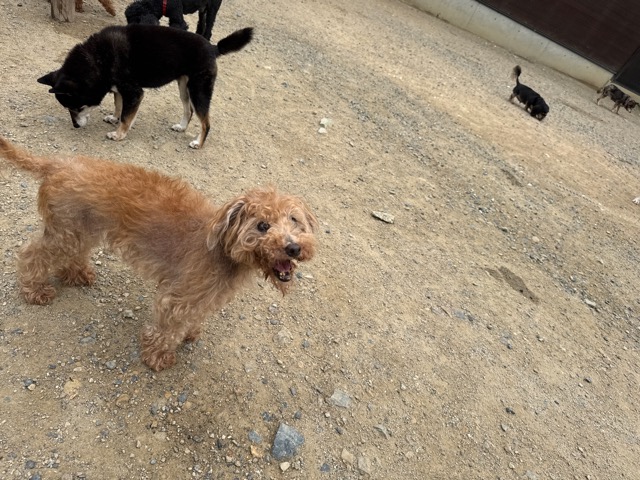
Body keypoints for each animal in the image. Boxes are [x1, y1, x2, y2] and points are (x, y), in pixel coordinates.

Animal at [0, 136, 318, 371]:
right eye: (262, 225)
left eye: (294, 220)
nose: (294, 247)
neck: (225, 252)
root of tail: (57, 164)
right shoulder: (178, 298)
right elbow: (168, 330)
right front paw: (158, 357)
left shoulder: (203, 297)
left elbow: (191, 321)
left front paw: (190, 334)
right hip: (66, 232)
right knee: (32, 255)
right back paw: (34, 290)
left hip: (82, 229)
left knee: (69, 254)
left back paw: (76, 274)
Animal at [37, 25, 253, 149]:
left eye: (78, 107)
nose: (74, 125)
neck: (97, 58)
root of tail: (213, 48)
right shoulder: (120, 89)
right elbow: (118, 105)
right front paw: (113, 118)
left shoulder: (134, 92)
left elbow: (126, 116)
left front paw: (118, 134)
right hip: (184, 88)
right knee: (189, 110)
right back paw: (181, 127)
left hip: (198, 90)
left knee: (205, 122)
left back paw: (198, 143)